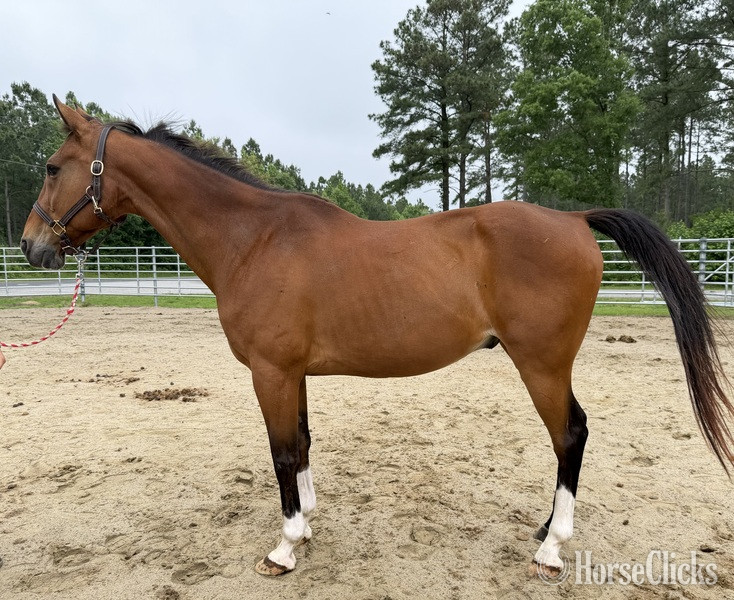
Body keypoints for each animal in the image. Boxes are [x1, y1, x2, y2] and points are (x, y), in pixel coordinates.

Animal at [21, 97, 734, 578]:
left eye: (54, 167)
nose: (30, 247)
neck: (254, 239)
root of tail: (574, 218)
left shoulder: (270, 371)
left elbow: (281, 452)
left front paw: (284, 546)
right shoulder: (292, 374)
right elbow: (302, 443)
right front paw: (307, 526)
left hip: (543, 366)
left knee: (571, 435)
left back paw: (552, 548)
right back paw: (543, 529)